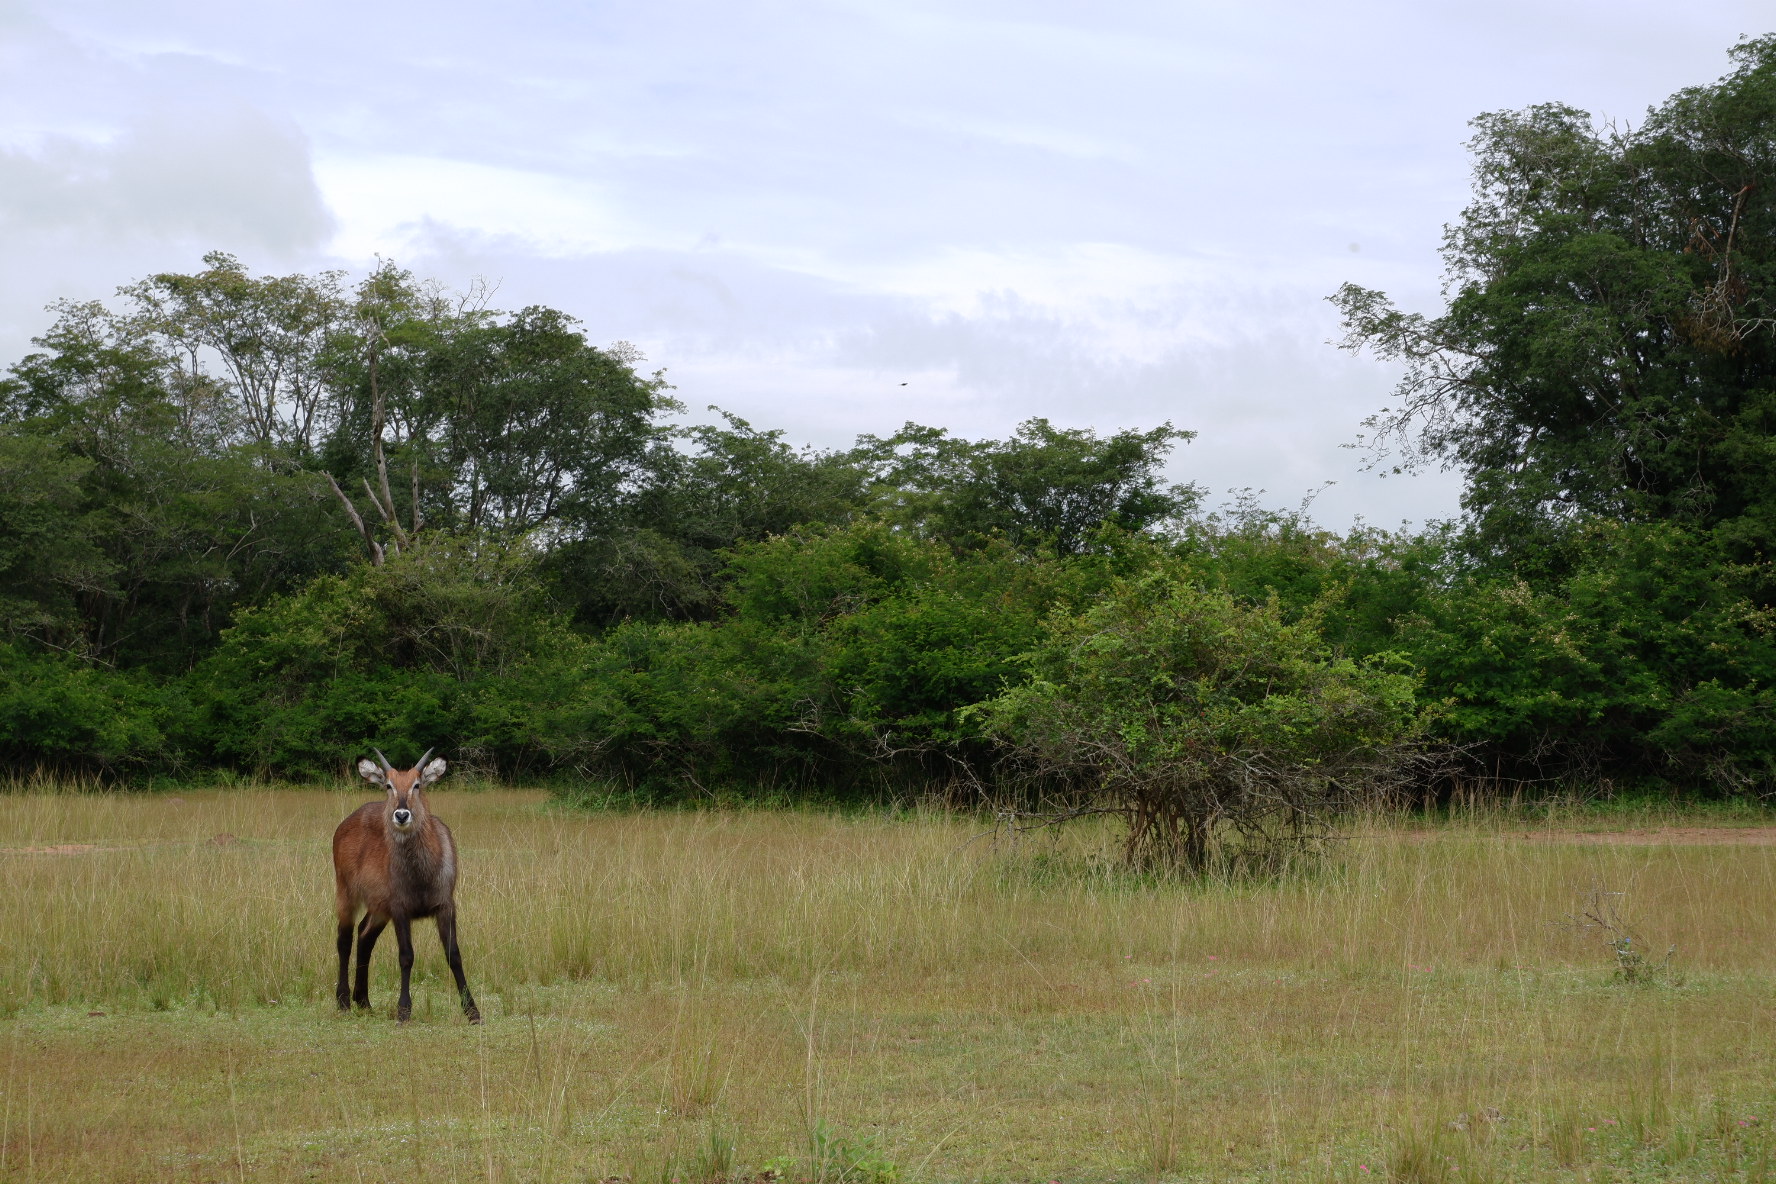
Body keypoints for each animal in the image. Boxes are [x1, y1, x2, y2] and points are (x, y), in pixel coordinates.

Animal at [332, 756, 479, 1022]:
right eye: (389, 785)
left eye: (417, 784)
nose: (401, 815)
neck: (422, 876)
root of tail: (346, 821)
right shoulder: (400, 908)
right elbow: (406, 956)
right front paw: (403, 1010)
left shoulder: (445, 905)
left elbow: (454, 955)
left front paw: (472, 1011)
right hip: (346, 893)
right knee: (344, 939)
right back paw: (344, 1001)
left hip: (379, 907)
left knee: (364, 935)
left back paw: (364, 1001)